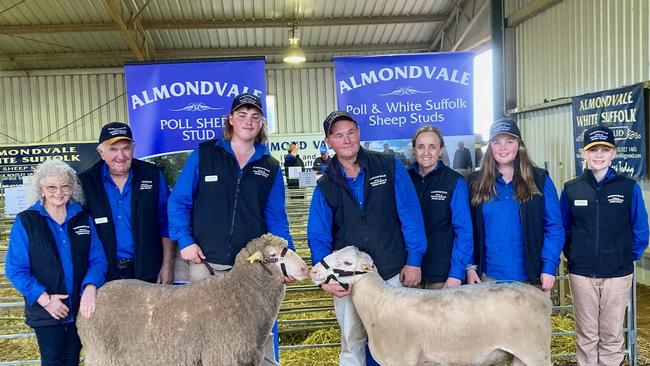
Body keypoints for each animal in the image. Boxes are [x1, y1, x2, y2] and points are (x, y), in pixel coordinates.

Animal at [312, 246, 548, 366]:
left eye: (347, 263)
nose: (314, 271)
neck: (379, 304)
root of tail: (543, 298)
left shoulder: (402, 359)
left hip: (536, 352)